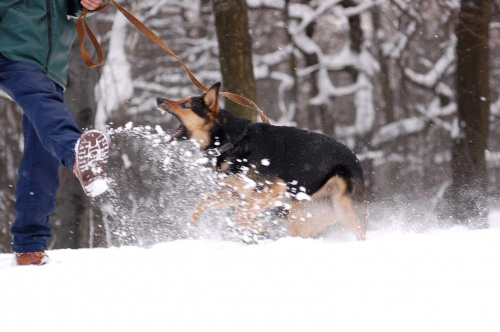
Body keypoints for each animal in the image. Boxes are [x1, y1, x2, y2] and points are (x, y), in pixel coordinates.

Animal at [157, 82, 368, 240]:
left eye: (185, 105)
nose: (159, 99)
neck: (234, 140)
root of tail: (357, 161)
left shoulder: (273, 188)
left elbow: (239, 216)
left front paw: (259, 228)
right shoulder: (238, 193)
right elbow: (204, 201)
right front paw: (191, 223)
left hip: (342, 204)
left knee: (360, 231)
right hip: (301, 216)